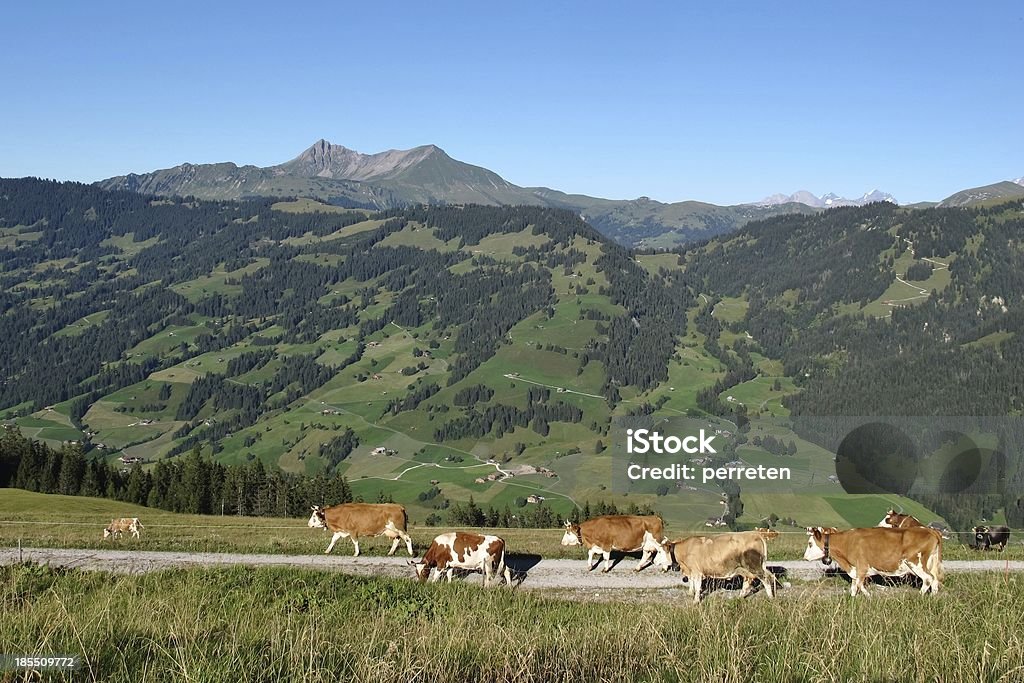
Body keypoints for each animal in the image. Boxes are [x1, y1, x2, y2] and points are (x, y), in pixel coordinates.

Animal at [802, 528, 937, 593]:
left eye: (810, 544)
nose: (805, 557)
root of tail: (931, 531)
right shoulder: (855, 570)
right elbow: (854, 588)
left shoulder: (861, 567)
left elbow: (859, 586)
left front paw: (868, 597)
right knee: (935, 580)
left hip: (915, 563)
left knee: (928, 579)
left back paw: (920, 596)